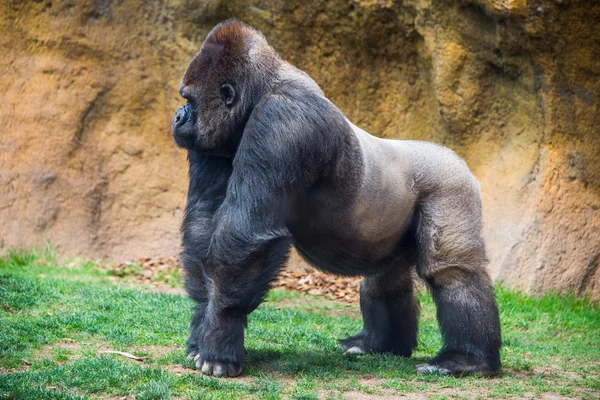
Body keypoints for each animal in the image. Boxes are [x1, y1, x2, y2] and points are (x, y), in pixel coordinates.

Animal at [172, 20, 502, 378]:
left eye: (189, 100)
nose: (178, 116)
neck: (264, 88)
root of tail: (454, 156)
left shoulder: (282, 121)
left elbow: (245, 234)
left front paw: (220, 335)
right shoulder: (213, 142)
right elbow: (204, 225)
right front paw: (202, 327)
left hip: (451, 184)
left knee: (452, 271)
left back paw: (467, 359)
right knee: (386, 277)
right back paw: (380, 344)